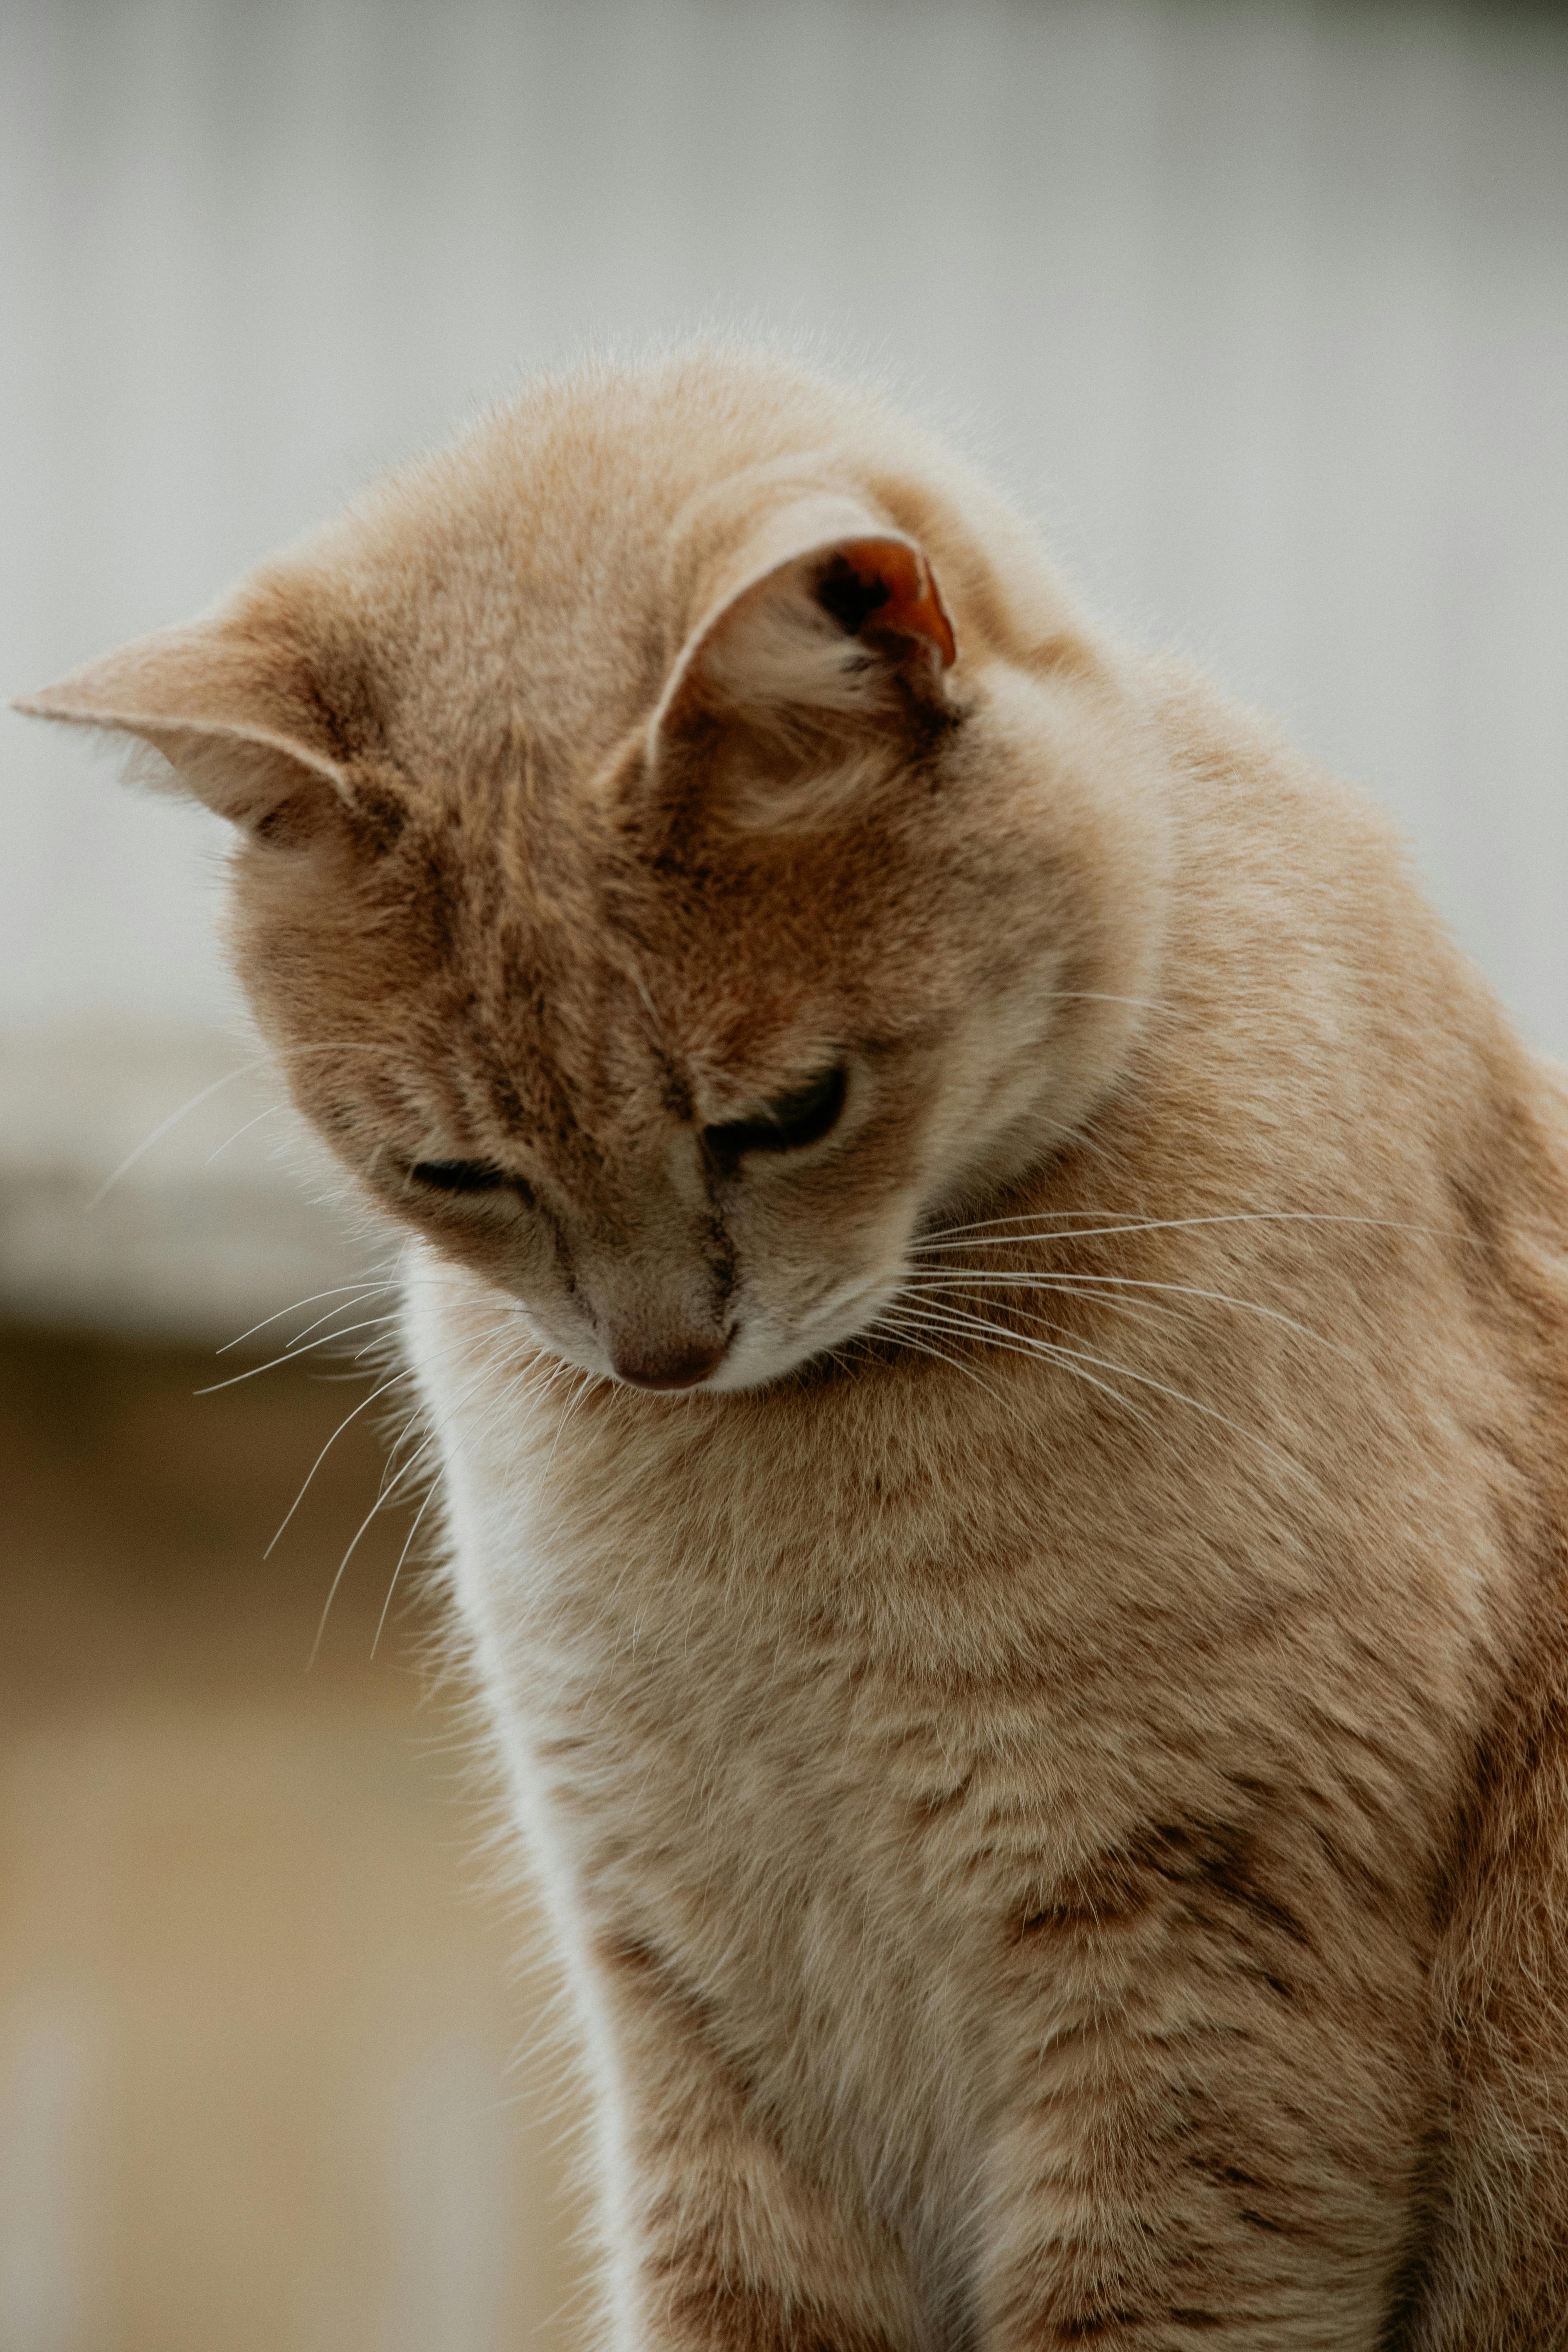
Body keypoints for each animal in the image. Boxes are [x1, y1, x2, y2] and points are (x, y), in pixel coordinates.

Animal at [18, 353, 1568, 2352]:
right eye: (453, 1172)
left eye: (786, 1116)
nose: (661, 1350)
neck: (758, 1516)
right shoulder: (704, 2017)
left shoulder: (1198, 1990)